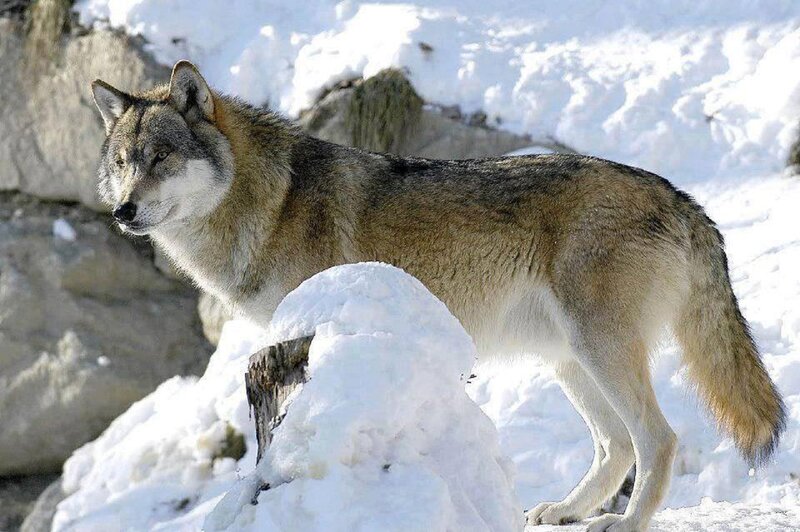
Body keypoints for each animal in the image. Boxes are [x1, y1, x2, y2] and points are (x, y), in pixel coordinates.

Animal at [91, 61, 784, 531]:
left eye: (161, 157)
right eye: (124, 162)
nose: (123, 211)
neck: (271, 201)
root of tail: (683, 197)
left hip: (599, 351)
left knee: (657, 440)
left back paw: (627, 521)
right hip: (568, 360)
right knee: (615, 446)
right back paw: (564, 510)